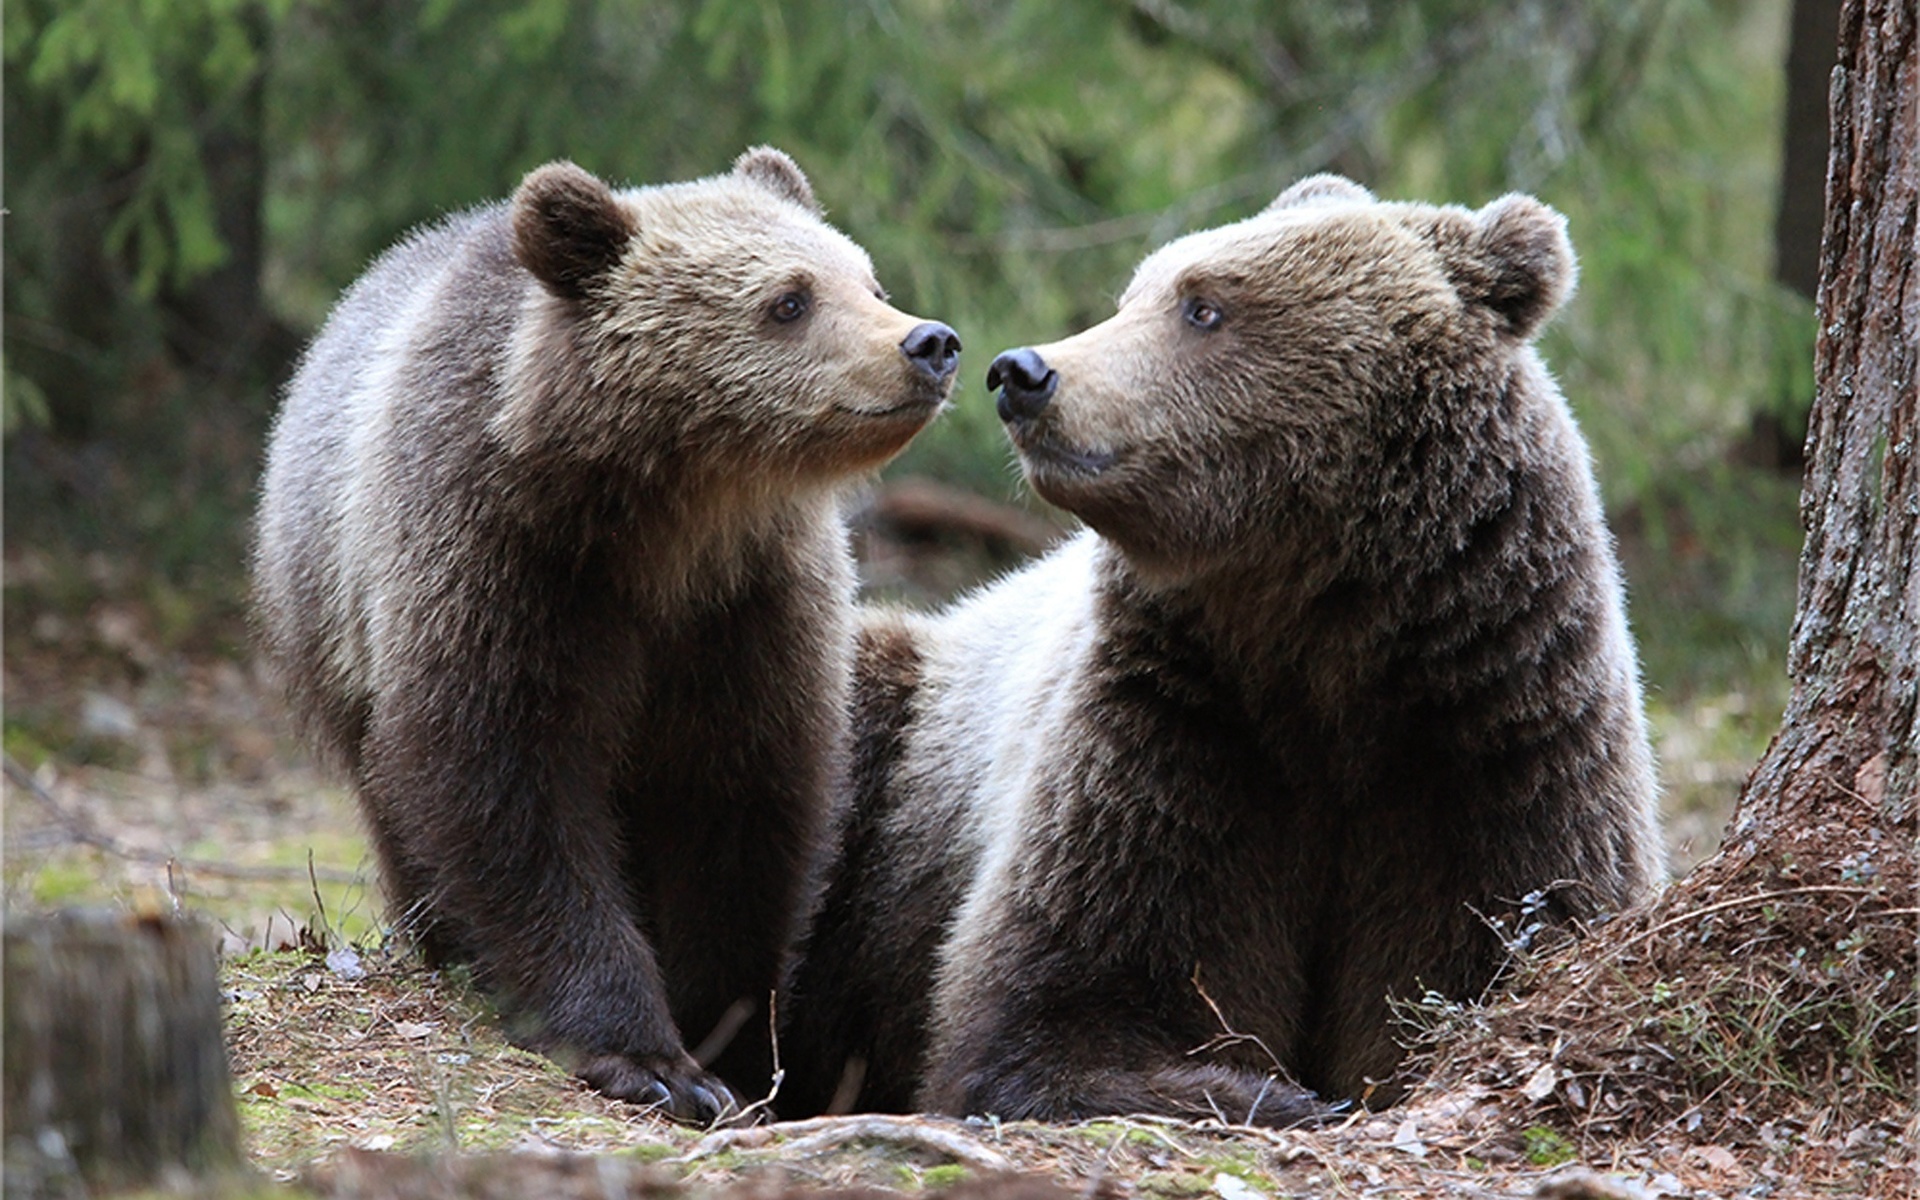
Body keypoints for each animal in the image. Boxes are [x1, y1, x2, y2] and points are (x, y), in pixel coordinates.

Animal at [259, 151, 960, 1121]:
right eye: (789, 299)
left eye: (870, 281)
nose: (929, 342)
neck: (665, 521)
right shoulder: (505, 564)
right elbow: (512, 789)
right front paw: (649, 1057)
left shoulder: (750, 607)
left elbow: (740, 809)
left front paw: (729, 1045)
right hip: (334, 623)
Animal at [779, 172, 1666, 1121]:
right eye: (1135, 293)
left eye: (1202, 305)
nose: (1023, 372)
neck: (1322, 638)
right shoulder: (1177, 725)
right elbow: (1065, 998)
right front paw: (1276, 1094)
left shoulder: (1493, 734)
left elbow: (1491, 939)